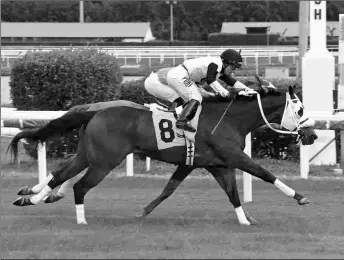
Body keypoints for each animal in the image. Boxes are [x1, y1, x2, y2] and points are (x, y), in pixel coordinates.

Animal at [8, 84, 318, 224]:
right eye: (300, 109)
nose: (313, 135)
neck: (230, 119)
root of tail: (95, 111)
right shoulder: (232, 157)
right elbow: (264, 173)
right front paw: (301, 197)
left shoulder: (211, 164)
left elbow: (220, 192)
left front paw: (245, 220)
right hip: (104, 161)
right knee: (80, 185)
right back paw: (80, 220)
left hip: (88, 154)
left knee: (61, 173)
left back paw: (31, 198)